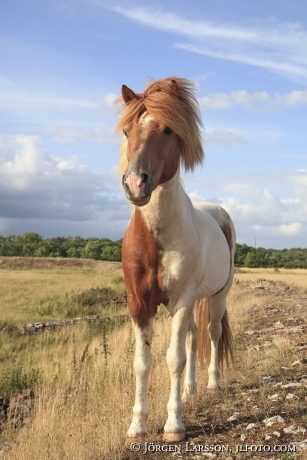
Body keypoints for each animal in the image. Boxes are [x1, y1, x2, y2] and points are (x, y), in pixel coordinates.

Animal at [115, 78, 236, 442]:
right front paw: (137, 426)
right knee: (194, 338)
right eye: (126, 130)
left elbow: (174, 359)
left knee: (211, 334)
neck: (157, 239)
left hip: (217, 296)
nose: (135, 184)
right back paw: (189, 390)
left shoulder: (180, 301)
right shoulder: (139, 304)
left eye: (167, 129)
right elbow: (143, 363)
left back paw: (212, 384)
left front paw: (173, 425)